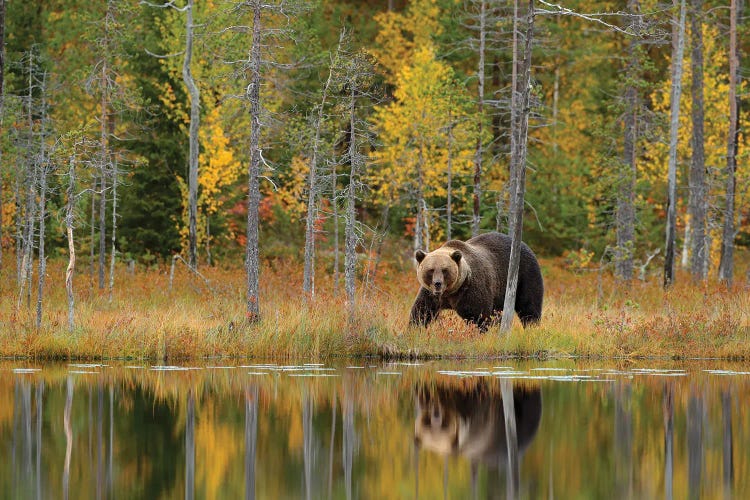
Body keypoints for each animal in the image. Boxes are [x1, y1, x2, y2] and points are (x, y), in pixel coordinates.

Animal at [408, 232, 544, 330]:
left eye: (445, 270)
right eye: (431, 270)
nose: (438, 283)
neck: (450, 291)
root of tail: (524, 244)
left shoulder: (470, 288)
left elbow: (478, 315)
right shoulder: (430, 294)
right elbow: (422, 311)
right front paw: (414, 329)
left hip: (525, 273)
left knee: (529, 304)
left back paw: (532, 325)